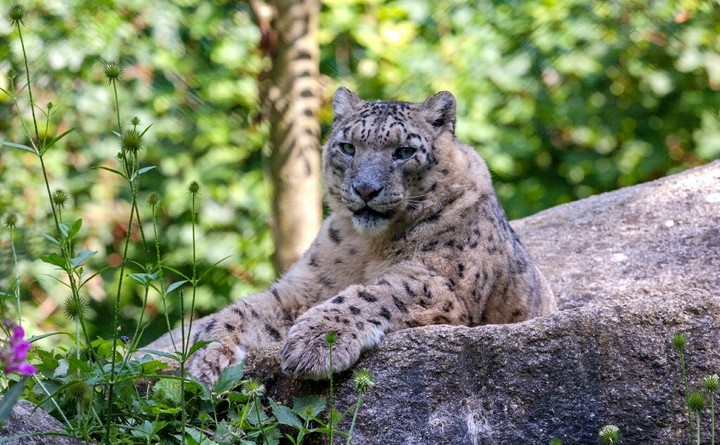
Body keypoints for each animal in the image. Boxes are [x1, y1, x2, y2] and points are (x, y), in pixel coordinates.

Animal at [143, 87, 557, 384]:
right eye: (347, 146)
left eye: (404, 151)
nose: (366, 189)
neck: (368, 246)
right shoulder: (307, 285)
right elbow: (246, 309)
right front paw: (205, 356)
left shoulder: (441, 281)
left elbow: (372, 293)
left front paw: (315, 343)